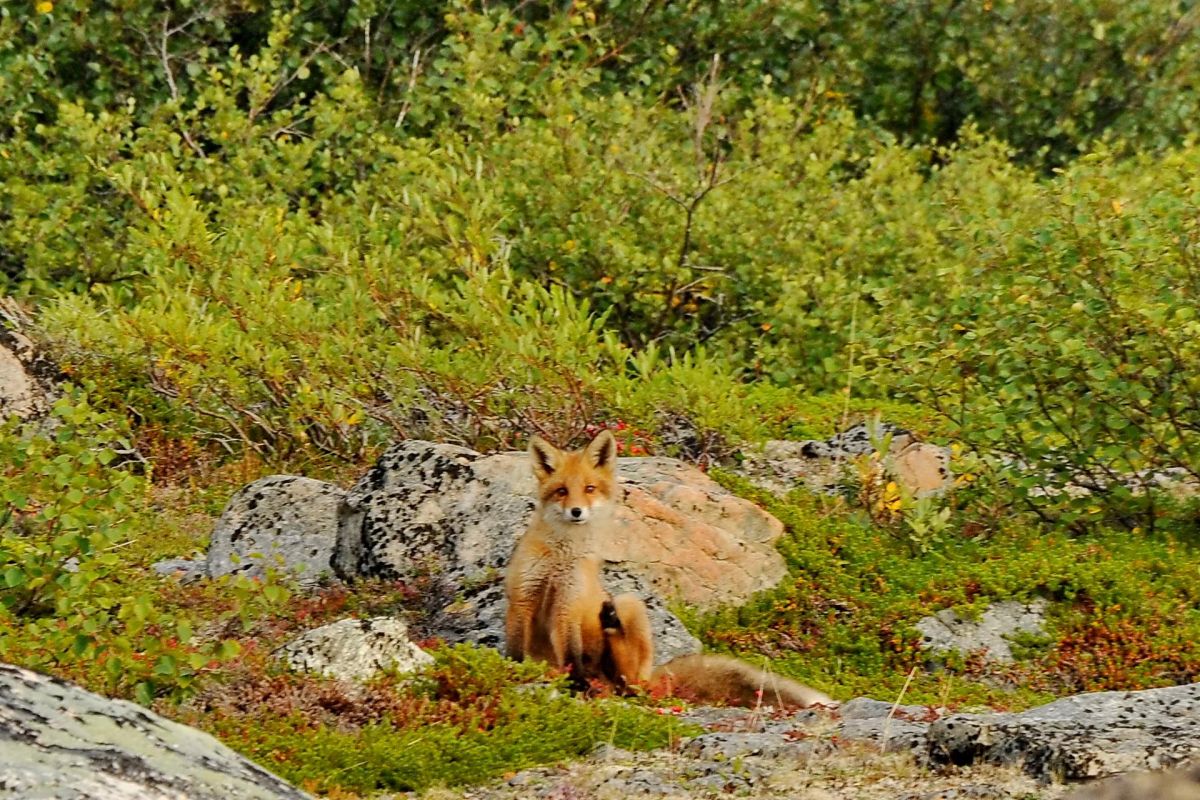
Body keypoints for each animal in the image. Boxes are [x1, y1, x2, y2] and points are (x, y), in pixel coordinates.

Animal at [501, 431, 830, 705]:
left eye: (589, 488)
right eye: (561, 491)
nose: (577, 511)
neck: (560, 557)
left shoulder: (569, 603)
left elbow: (572, 655)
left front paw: (576, 684)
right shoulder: (523, 595)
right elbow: (515, 647)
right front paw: (513, 672)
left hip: (629, 603)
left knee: (629, 682)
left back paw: (610, 639)